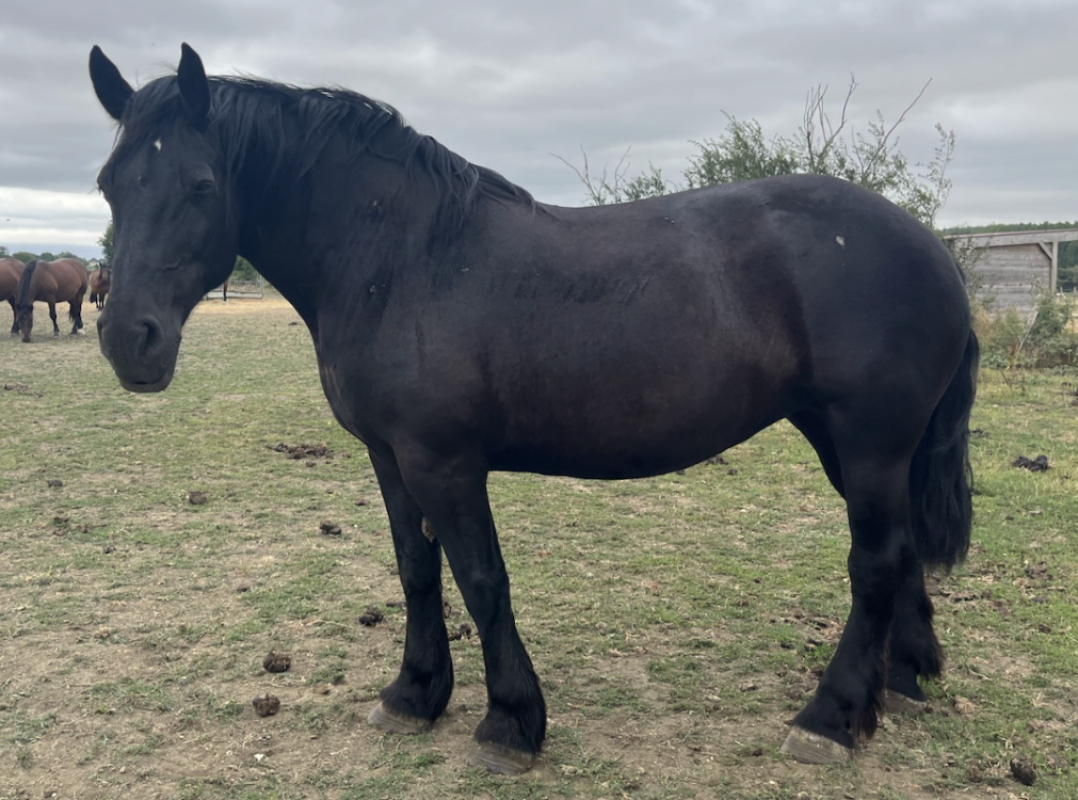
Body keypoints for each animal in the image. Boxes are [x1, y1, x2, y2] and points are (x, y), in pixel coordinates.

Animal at [90, 44, 979, 774]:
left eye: (202, 185)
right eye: (107, 184)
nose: (130, 340)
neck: (400, 260)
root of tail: (930, 247)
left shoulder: (444, 463)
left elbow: (482, 578)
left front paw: (510, 724)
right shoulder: (388, 457)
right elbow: (416, 570)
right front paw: (413, 694)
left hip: (868, 443)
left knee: (875, 563)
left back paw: (830, 718)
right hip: (850, 445)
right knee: (902, 555)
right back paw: (902, 679)